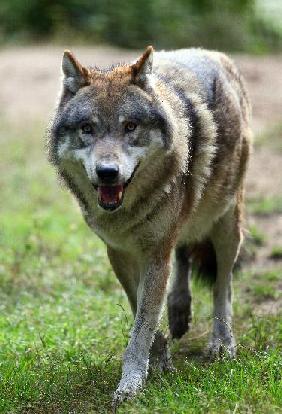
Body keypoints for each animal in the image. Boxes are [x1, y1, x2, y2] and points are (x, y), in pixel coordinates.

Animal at [47, 46, 252, 404]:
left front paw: (130, 384)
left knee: (222, 285)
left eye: (130, 126)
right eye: (87, 128)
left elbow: (141, 326)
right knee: (184, 255)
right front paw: (158, 362)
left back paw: (222, 343)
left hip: (226, 224)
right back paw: (179, 309)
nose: (107, 173)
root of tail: (213, 53)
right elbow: (141, 315)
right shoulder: (120, 253)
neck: (126, 213)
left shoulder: (156, 253)